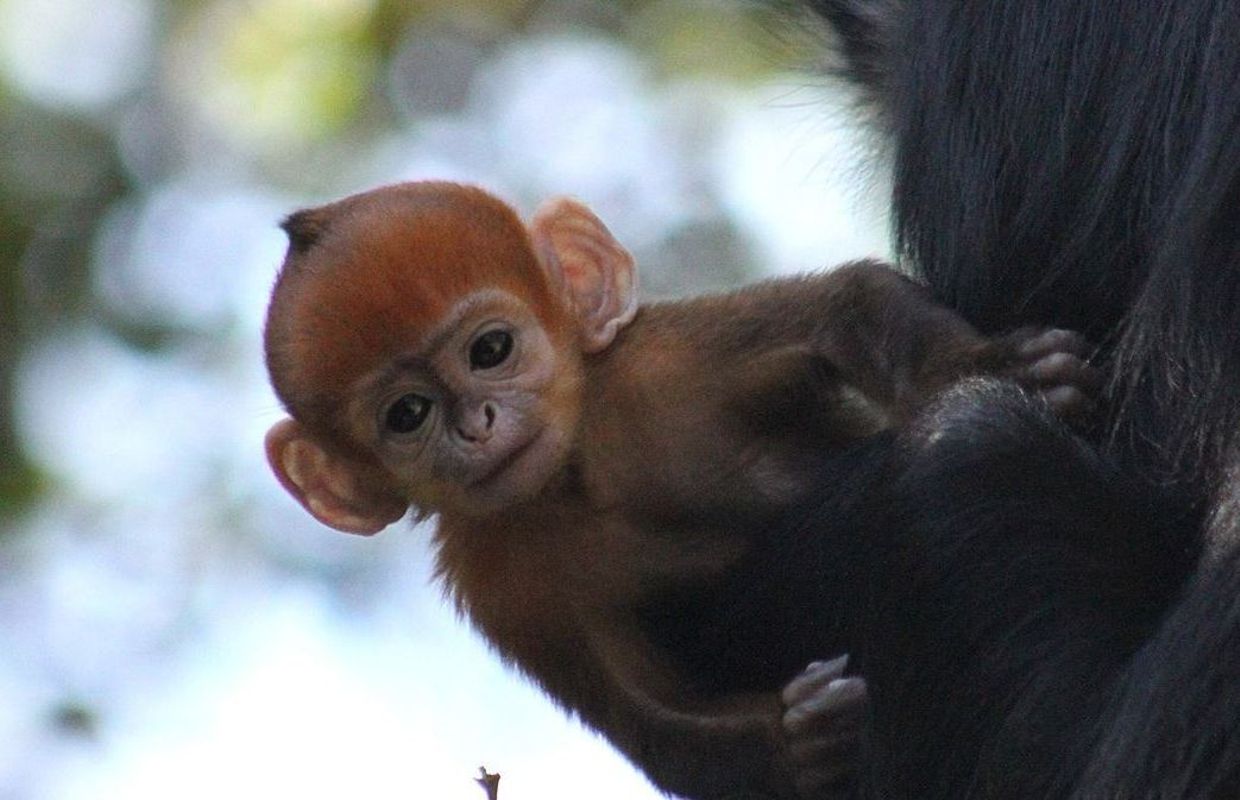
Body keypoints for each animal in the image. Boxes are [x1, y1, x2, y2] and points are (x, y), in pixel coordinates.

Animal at [261, 182, 1096, 798]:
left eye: (490, 350)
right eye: (407, 415)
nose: (476, 425)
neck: (578, 475)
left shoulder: (663, 364)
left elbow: (845, 301)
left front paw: (987, 366)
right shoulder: (502, 582)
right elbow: (646, 722)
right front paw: (805, 740)